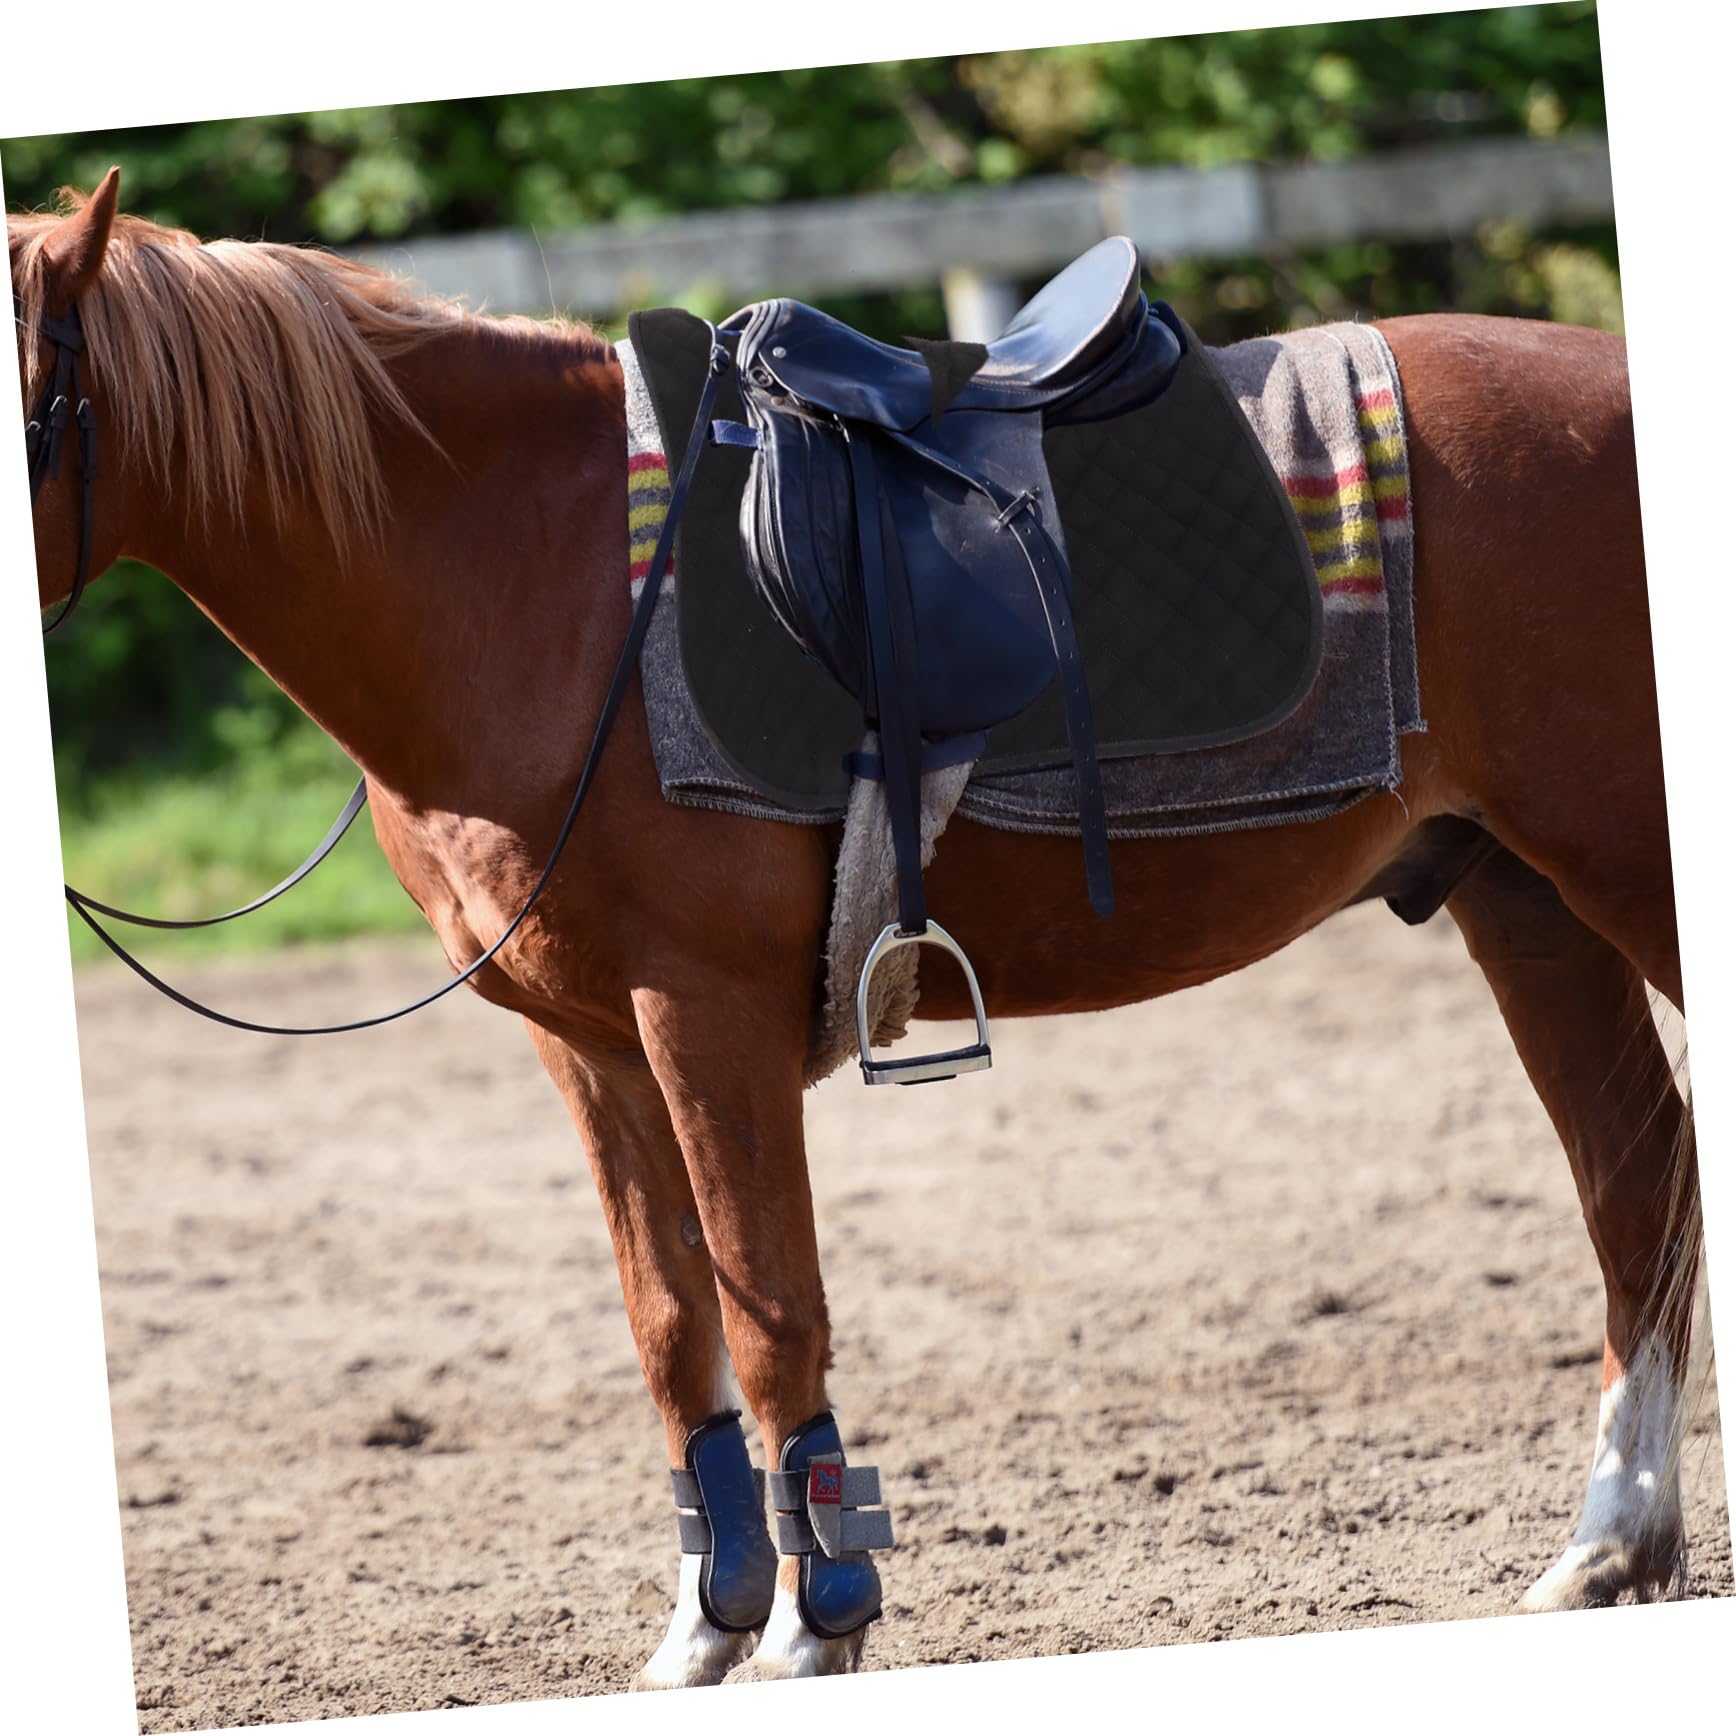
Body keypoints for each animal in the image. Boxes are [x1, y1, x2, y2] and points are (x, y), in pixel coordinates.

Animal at [12, 171, 1700, 1687]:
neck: (529, 576)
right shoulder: (587, 1048)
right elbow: (672, 1324)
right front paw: (706, 1626)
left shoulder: (704, 1020)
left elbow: (772, 1319)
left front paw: (818, 1622)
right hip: (1521, 897)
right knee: (1637, 1181)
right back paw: (1610, 1545)